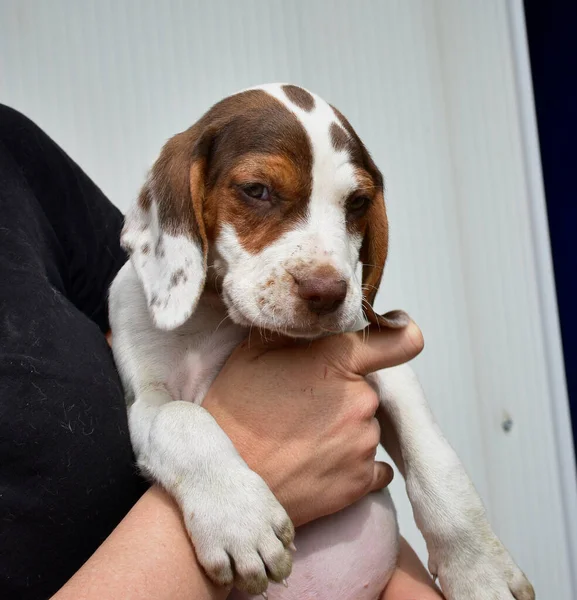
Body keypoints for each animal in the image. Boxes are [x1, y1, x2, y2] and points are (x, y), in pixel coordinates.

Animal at [108, 83, 532, 600]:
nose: (328, 292)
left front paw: (480, 570)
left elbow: (435, 459)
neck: (220, 316)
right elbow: (181, 417)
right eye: (257, 190)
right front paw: (240, 520)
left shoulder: (388, 369)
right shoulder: (143, 399)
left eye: (357, 203)